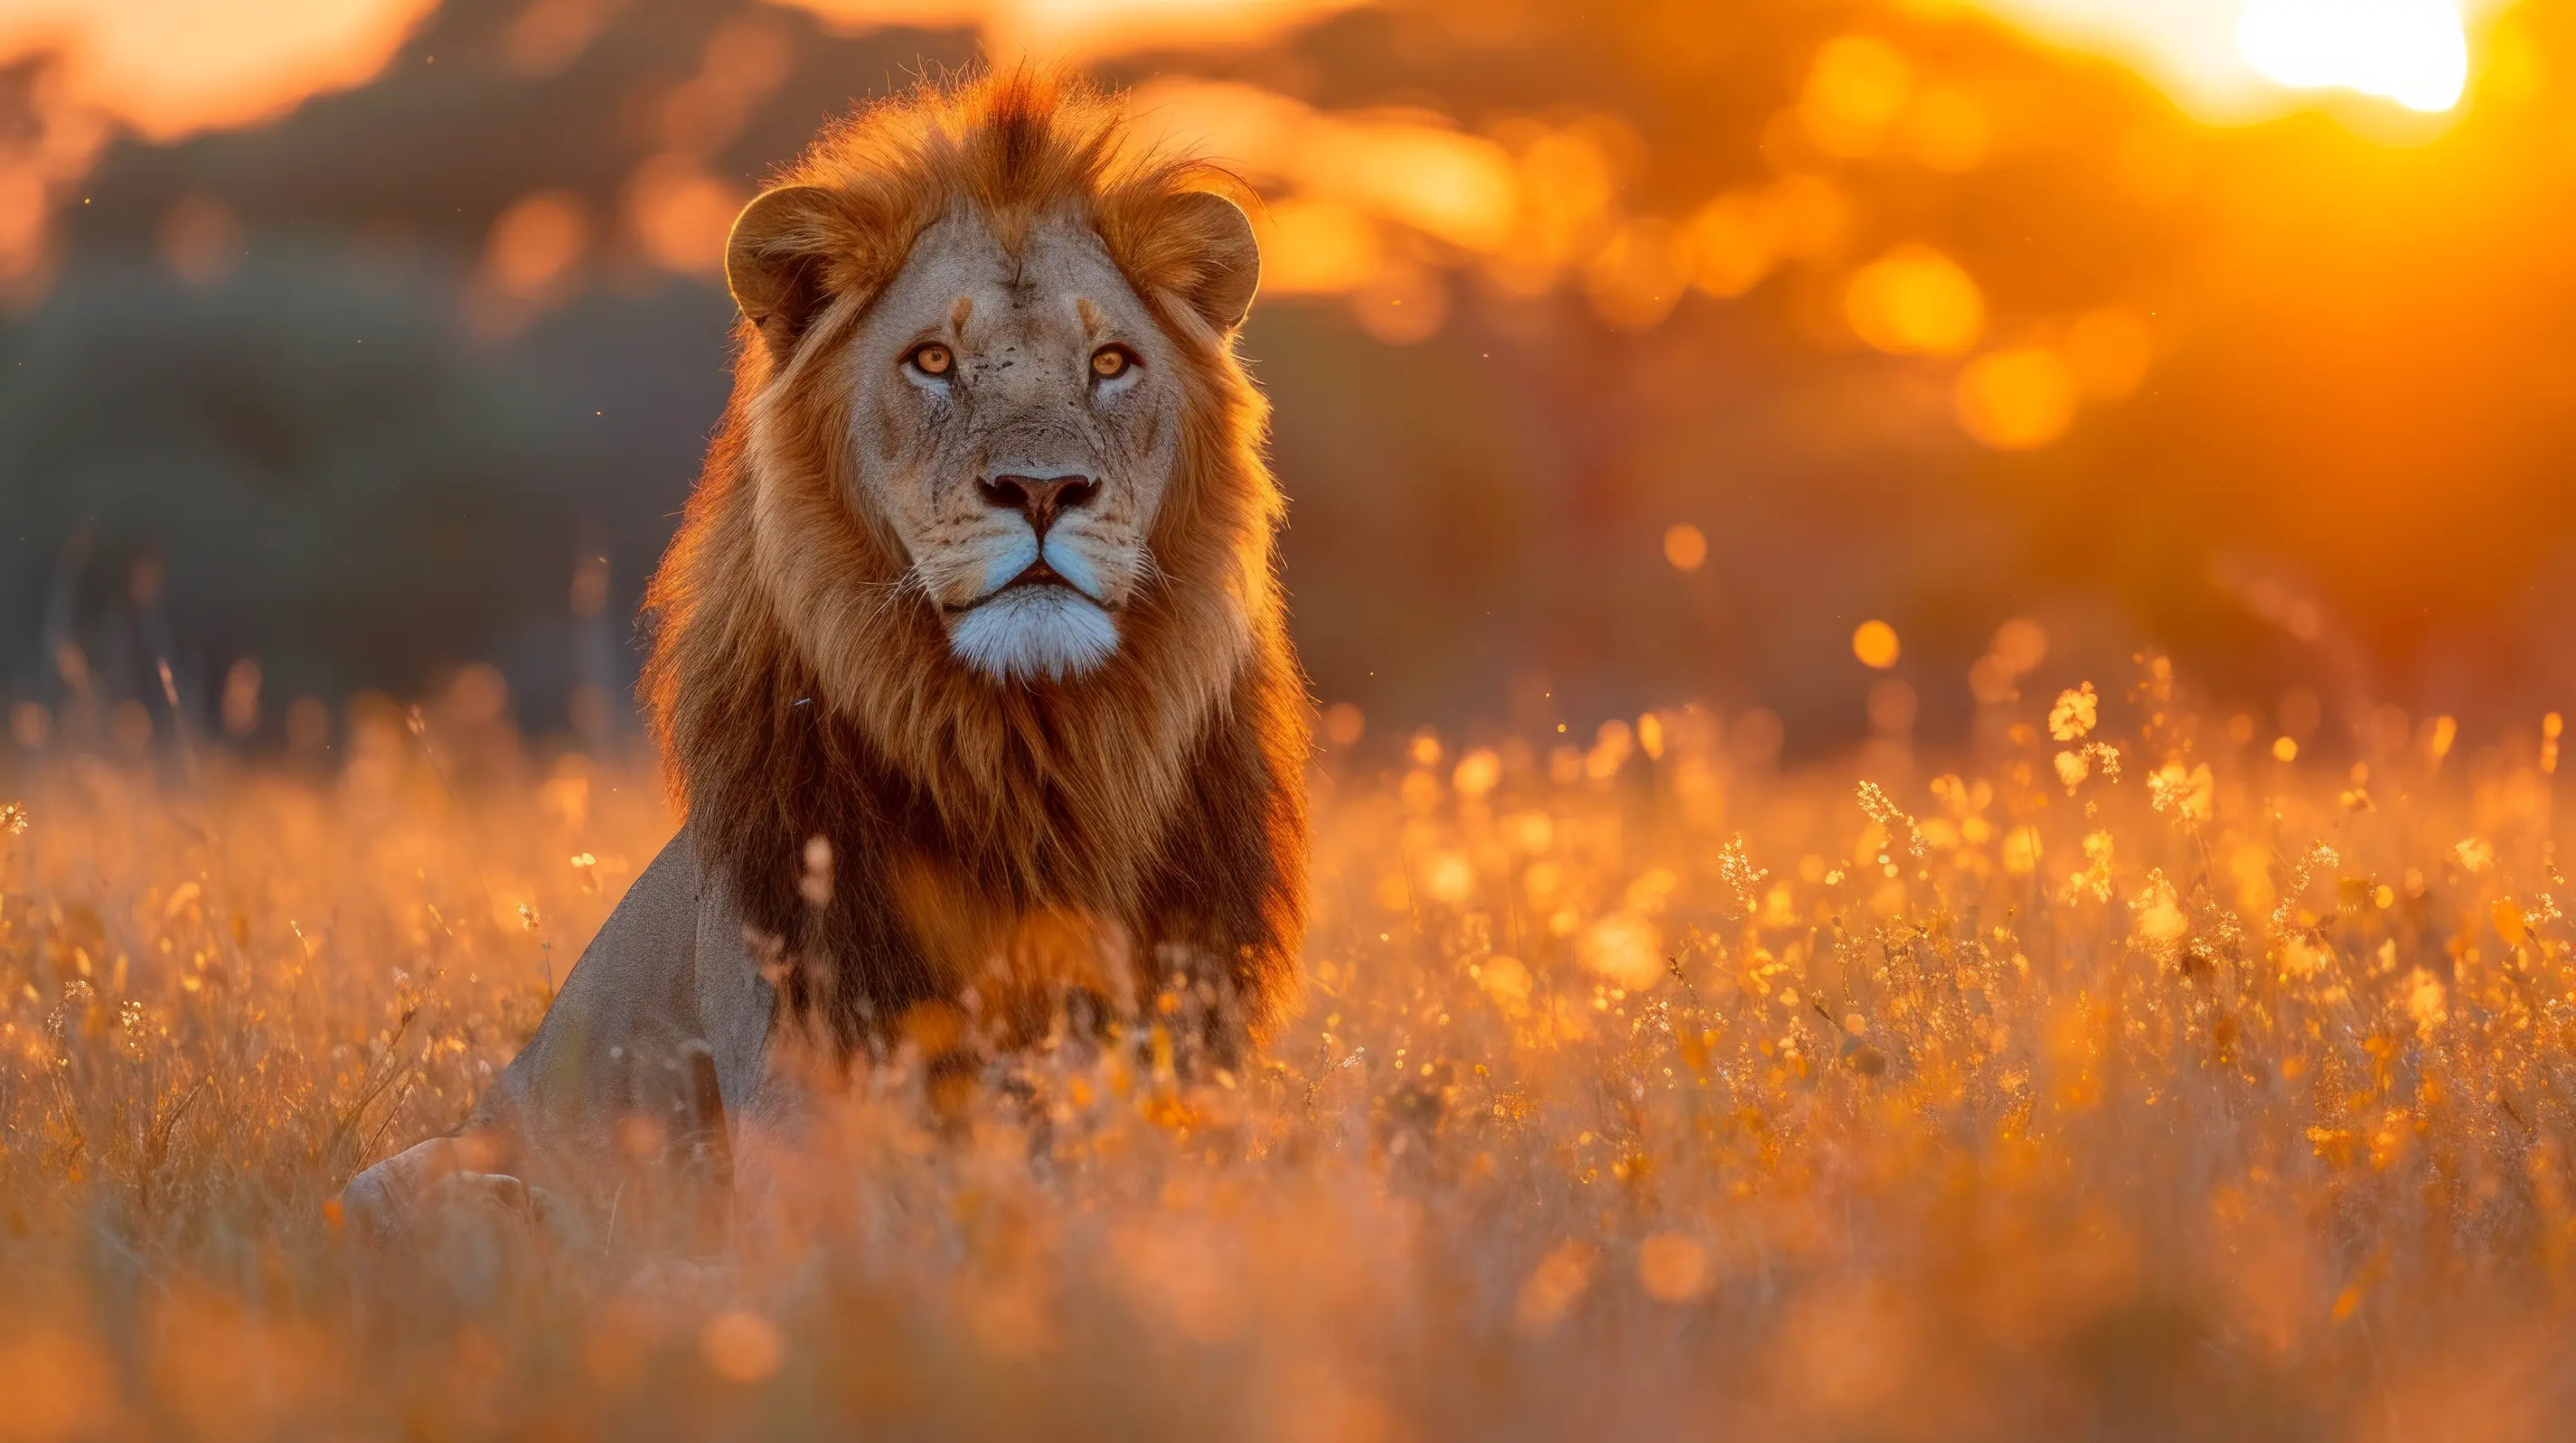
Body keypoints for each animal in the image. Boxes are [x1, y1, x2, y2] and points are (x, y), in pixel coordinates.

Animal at [340, 71, 1310, 1263]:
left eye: (1112, 363)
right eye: (932, 361)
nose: (1041, 490)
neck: (1035, 761)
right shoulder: (801, 1130)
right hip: (392, 1180)